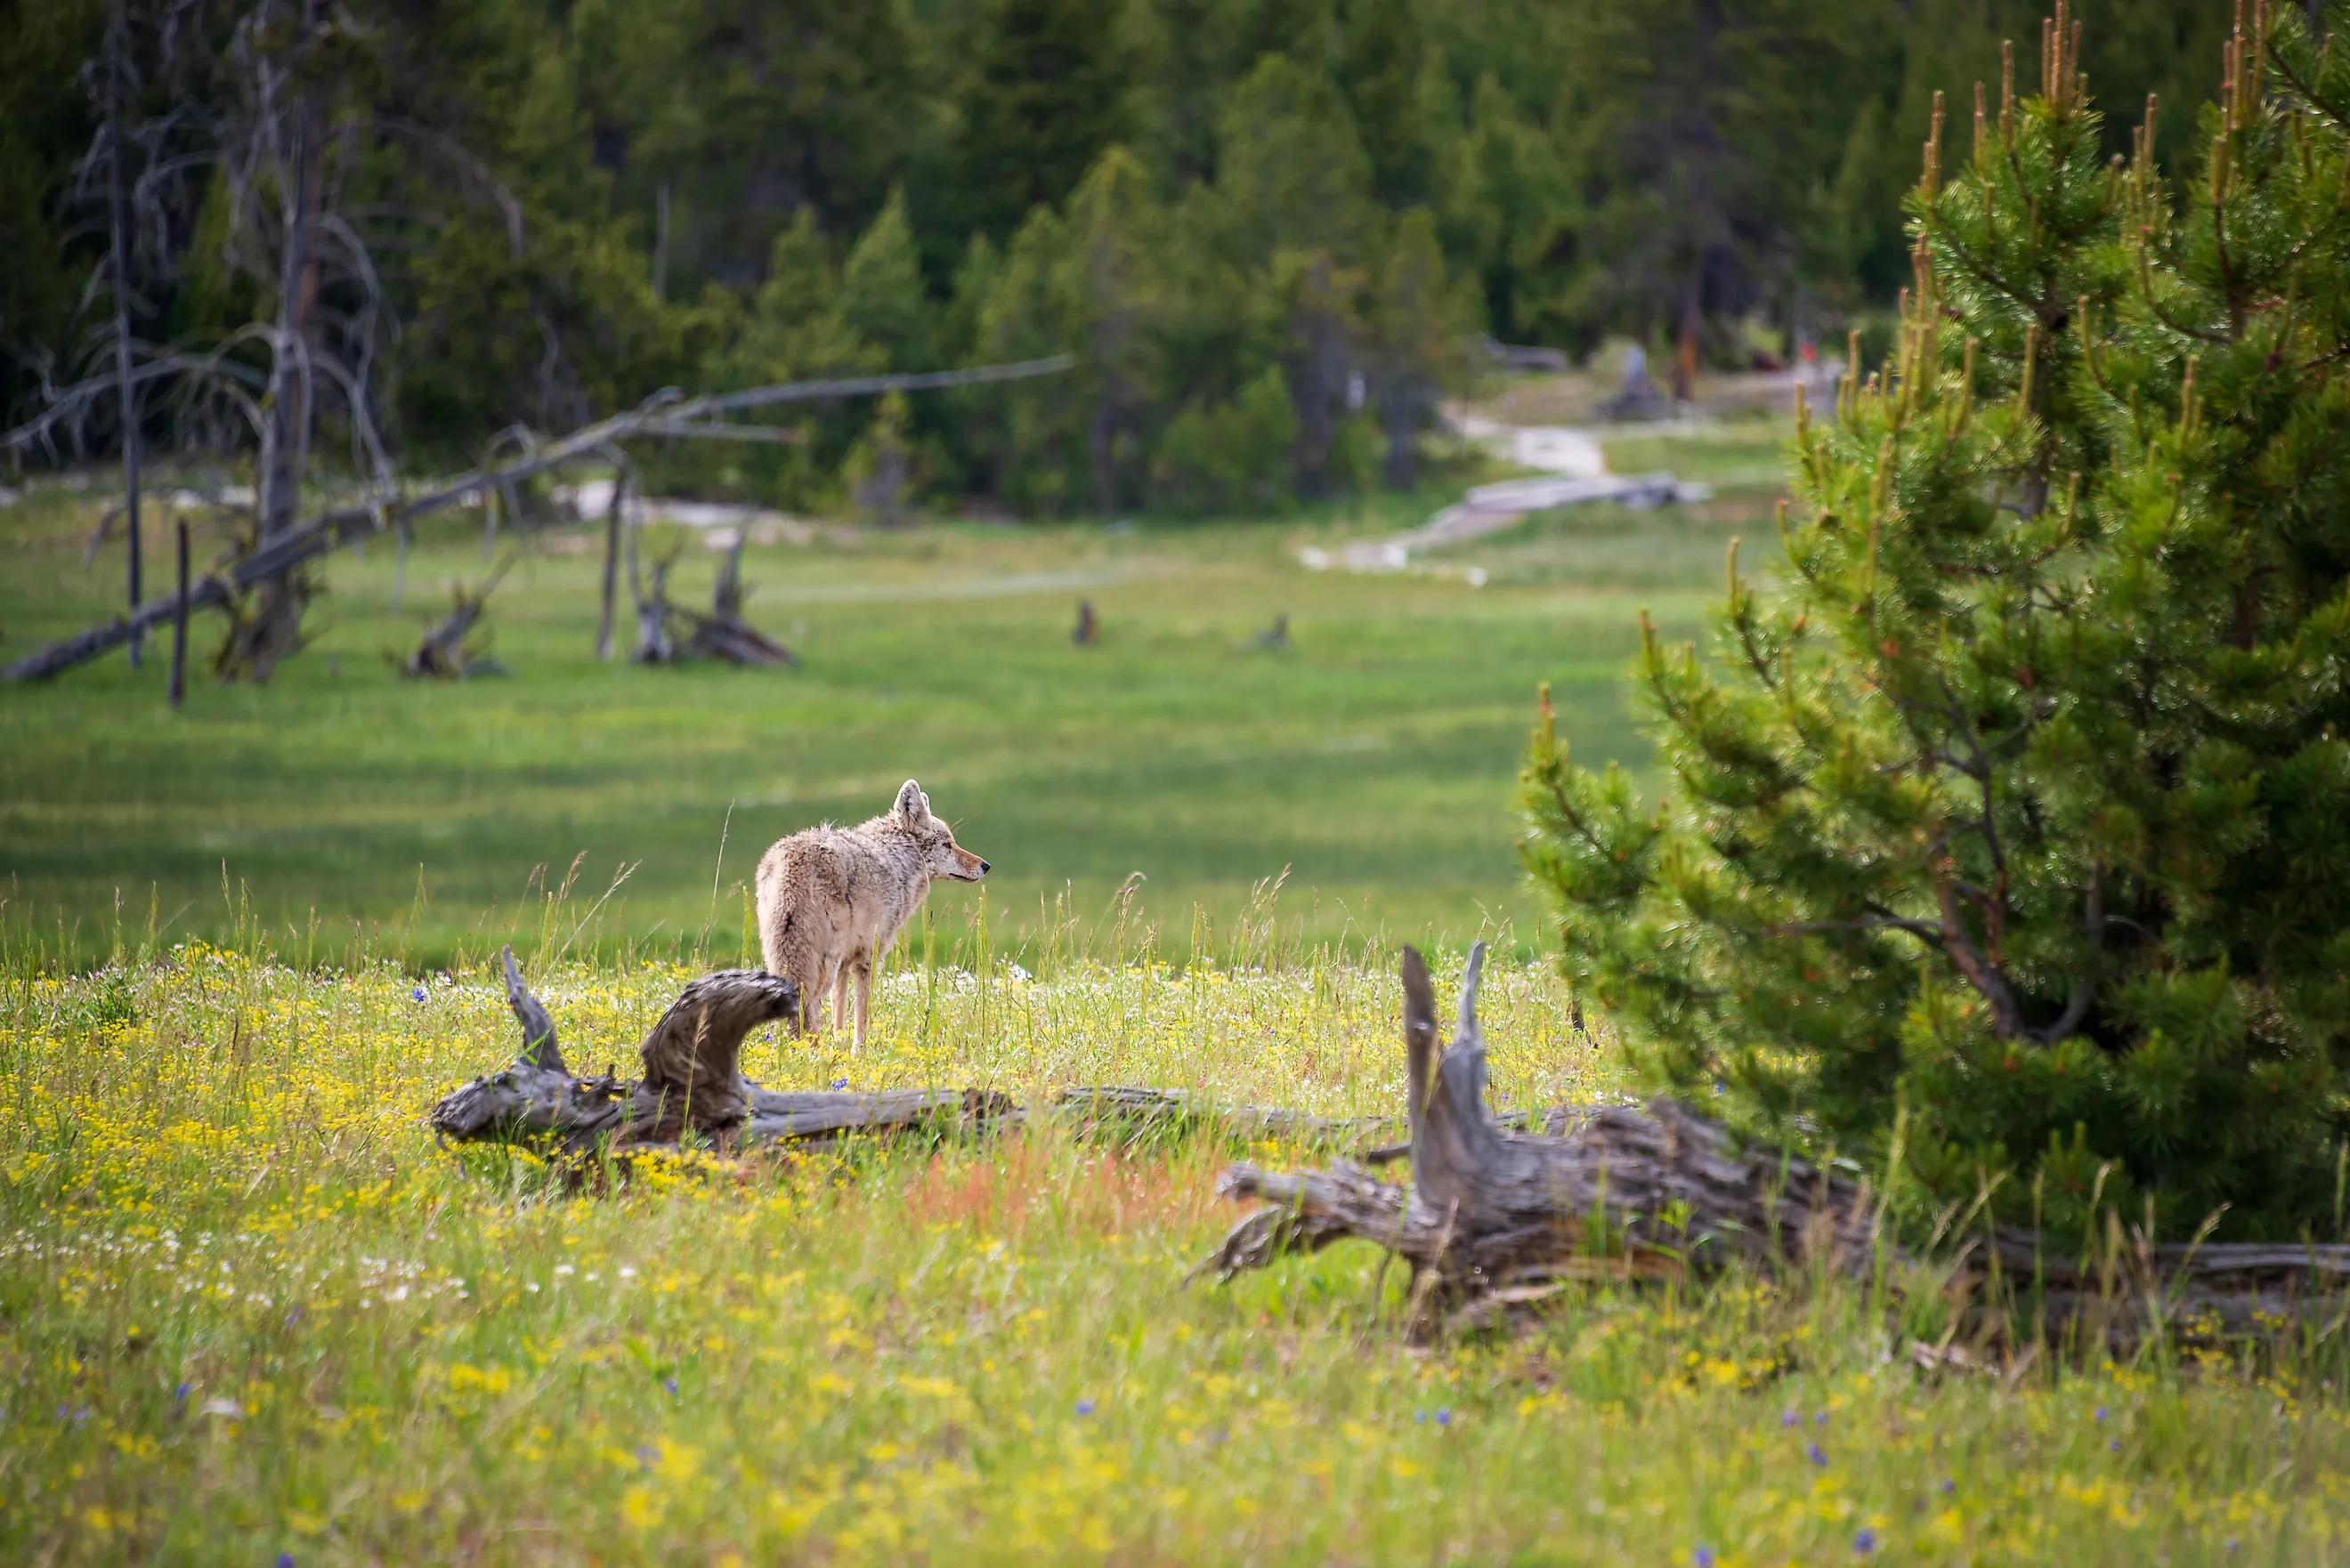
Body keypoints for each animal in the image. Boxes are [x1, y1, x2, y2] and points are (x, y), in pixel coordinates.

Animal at [754, 779, 989, 1047]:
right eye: (947, 845)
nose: (986, 866)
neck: (899, 859)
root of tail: (789, 865)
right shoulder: (868, 958)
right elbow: (862, 1016)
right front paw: (860, 1051)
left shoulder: (846, 964)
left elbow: (839, 1017)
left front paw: (840, 1048)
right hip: (823, 966)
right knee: (810, 1011)